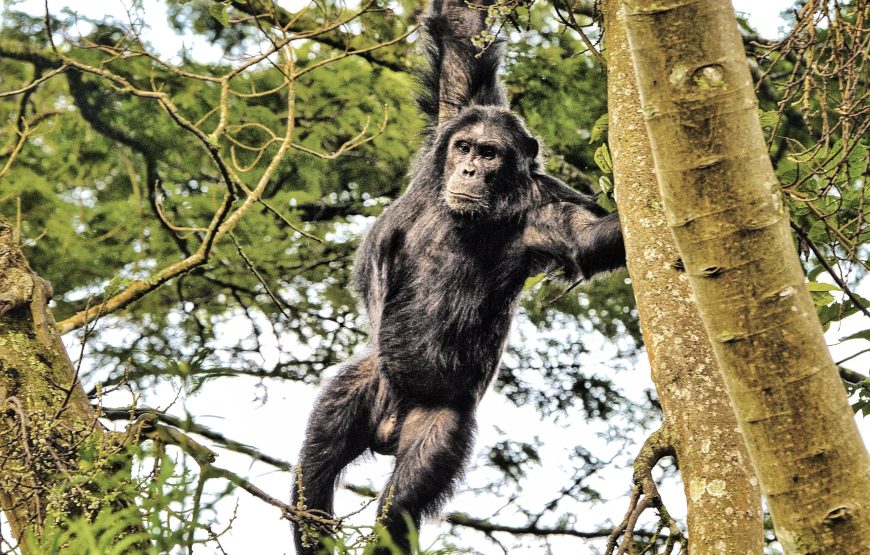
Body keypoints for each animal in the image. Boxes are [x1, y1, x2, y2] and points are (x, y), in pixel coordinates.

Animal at [292, 1, 625, 553]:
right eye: (465, 147)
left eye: (490, 154)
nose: (469, 170)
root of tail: (387, 429)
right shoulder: (456, 110)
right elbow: (460, 37)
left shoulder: (550, 217)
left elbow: (597, 237)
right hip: (360, 386)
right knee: (313, 470)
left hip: (439, 428)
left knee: (398, 512)